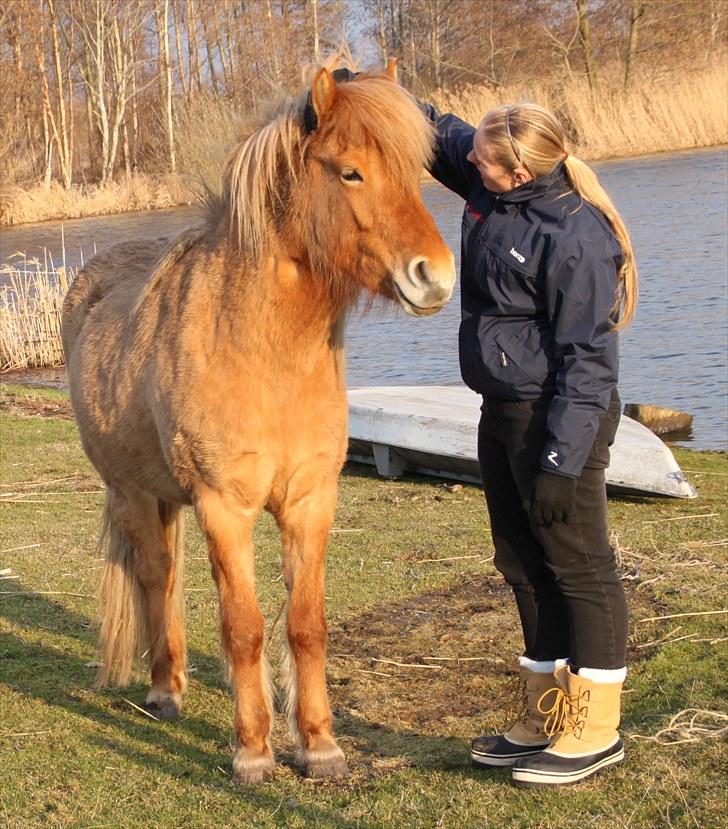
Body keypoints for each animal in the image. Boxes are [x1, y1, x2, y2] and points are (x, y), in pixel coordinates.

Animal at [62, 61, 452, 780]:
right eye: (350, 172)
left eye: (416, 172)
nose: (434, 277)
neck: (264, 354)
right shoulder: (225, 506)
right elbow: (243, 627)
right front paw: (253, 751)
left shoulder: (310, 501)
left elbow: (305, 625)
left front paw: (320, 744)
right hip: (132, 492)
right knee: (155, 577)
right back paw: (164, 691)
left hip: (164, 496)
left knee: (169, 579)